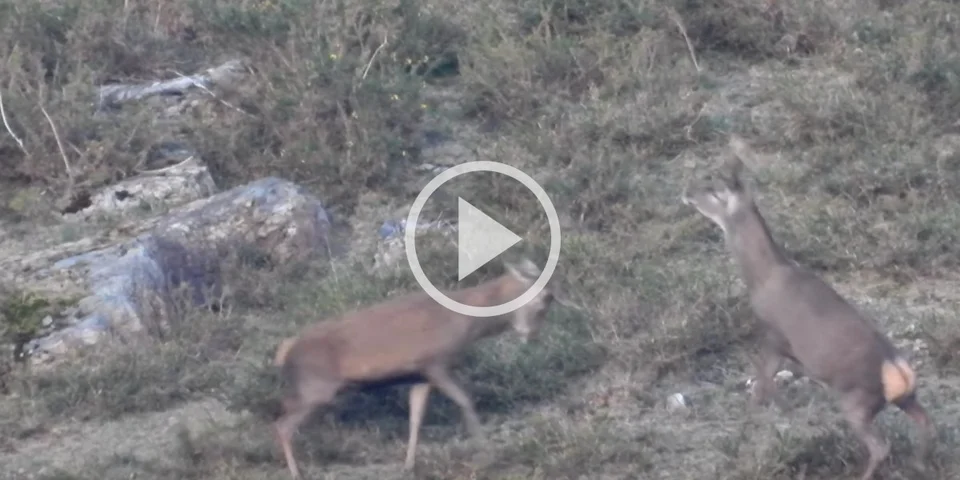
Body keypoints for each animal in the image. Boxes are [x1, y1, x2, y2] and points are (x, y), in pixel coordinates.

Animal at [270, 258, 555, 479]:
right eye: (543, 301)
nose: (531, 336)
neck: (467, 324)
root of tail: (284, 352)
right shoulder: (436, 362)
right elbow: (465, 400)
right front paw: (488, 450)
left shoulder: (420, 375)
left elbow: (416, 417)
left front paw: (409, 465)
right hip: (317, 388)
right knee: (283, 424)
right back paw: (296, 473)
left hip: (311, 389)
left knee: (283, 413)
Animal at [680, 151, 936, 480]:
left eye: (713, 188)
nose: (686, 192)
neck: (762, 277)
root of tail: (898, 372)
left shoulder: (773, 335)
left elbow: (762, 382)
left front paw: (753, 420)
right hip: (905, 397)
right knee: (925, 421)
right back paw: (920, 463)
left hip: (856, 400)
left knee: (880, 446)